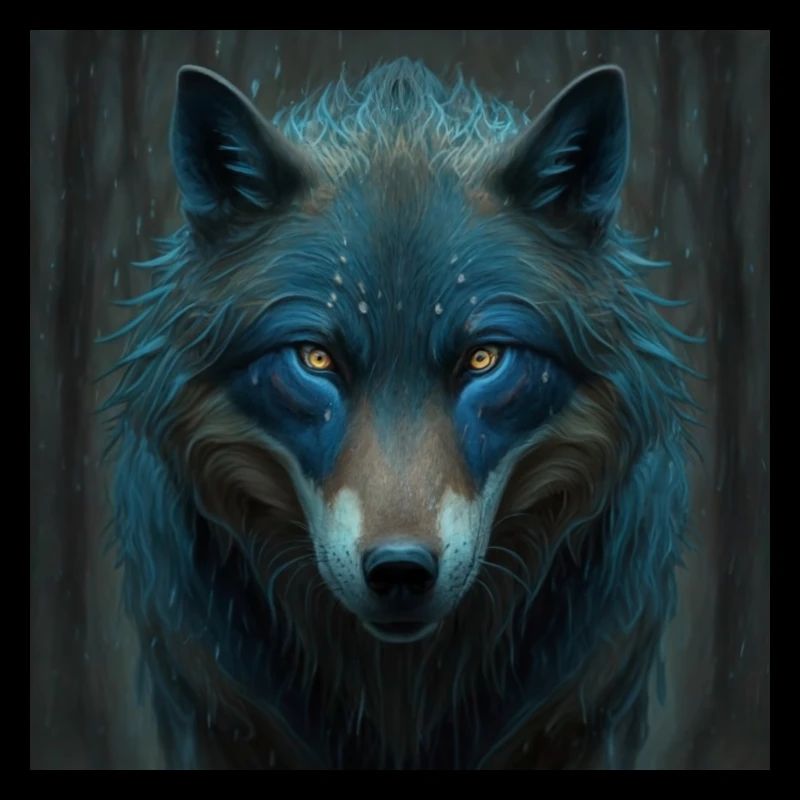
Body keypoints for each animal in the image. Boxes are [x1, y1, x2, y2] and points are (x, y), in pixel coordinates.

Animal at [102, 58, 698, 769]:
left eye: (483, 359)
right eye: (316, 359)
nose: (400, 570)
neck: (399, 693)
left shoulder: (585, 717)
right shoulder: (212, 714)